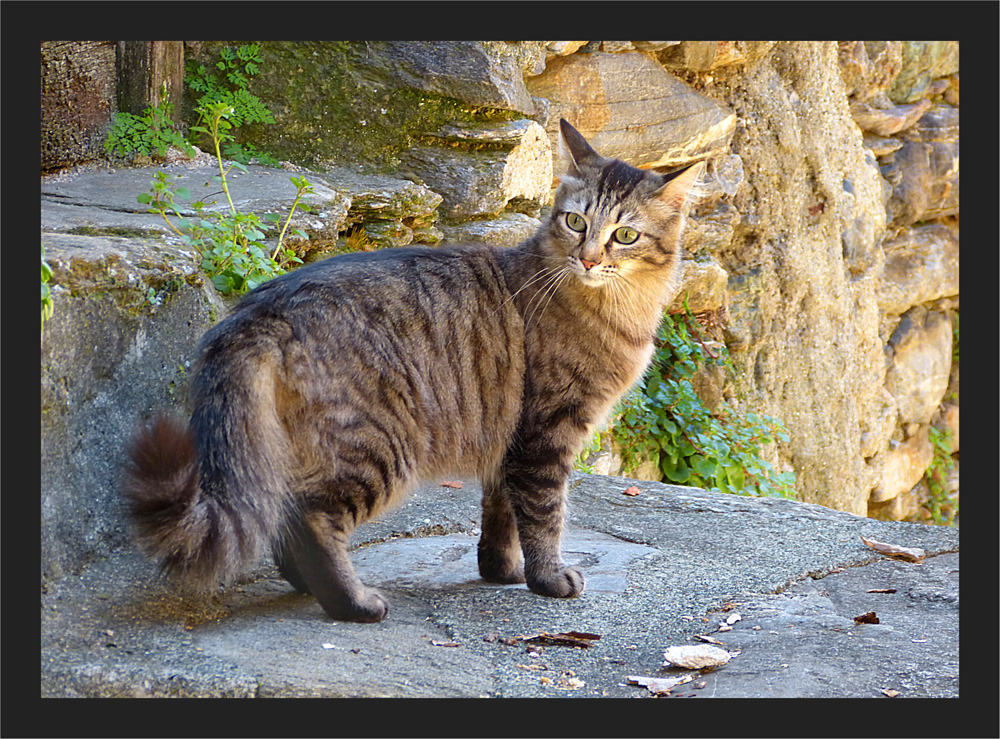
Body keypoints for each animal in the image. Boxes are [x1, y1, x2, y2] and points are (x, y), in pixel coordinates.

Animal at [123, 118, 704, 620]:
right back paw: (353, 603)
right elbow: (544, 516)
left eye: (624, 236)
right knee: (311, 523)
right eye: (576, 221)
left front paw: (503, 571)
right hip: (380, 446)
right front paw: (548, 578)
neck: (618, 310)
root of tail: (263, 308)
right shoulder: (546, 434)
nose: (587, 259)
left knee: (286, 526)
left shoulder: (508, 440)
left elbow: (501, 517)